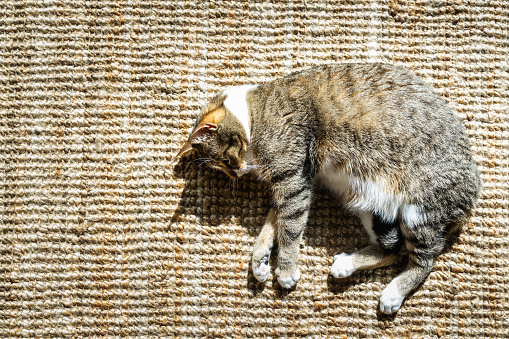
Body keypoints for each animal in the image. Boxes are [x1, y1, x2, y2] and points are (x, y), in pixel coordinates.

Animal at [178, 64, 480, 316]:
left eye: (226, 161)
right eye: (225, 169)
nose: (238, 172)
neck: (253, 113)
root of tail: (474, 190)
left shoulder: (292, 180)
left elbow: (290, 231)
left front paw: (285, 270)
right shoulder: (295, 181)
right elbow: (272, 223)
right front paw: (259, 258)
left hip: (419, 213)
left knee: (423, 261)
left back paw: (392, 293)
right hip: (373, 209)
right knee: (395, 251)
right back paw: (347, 264)